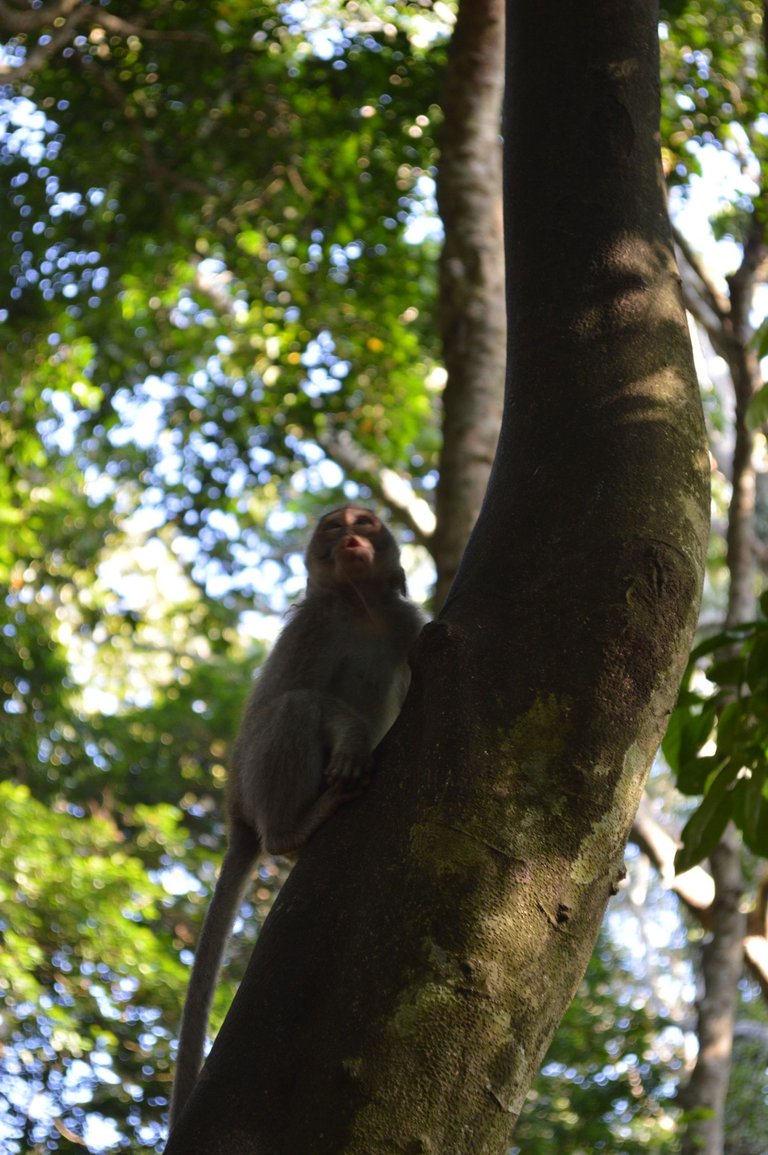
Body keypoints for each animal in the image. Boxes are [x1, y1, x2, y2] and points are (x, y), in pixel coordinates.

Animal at [167, 508, 424, 1127]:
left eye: (366, 522)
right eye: (333, 526)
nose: (350, 535)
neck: (360, 606)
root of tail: (238, 814)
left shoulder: (407, 622)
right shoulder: (312, 624)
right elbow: (293, 696)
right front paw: (352, 738)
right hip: (253, 780)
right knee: (293, 707)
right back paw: (291, 832)